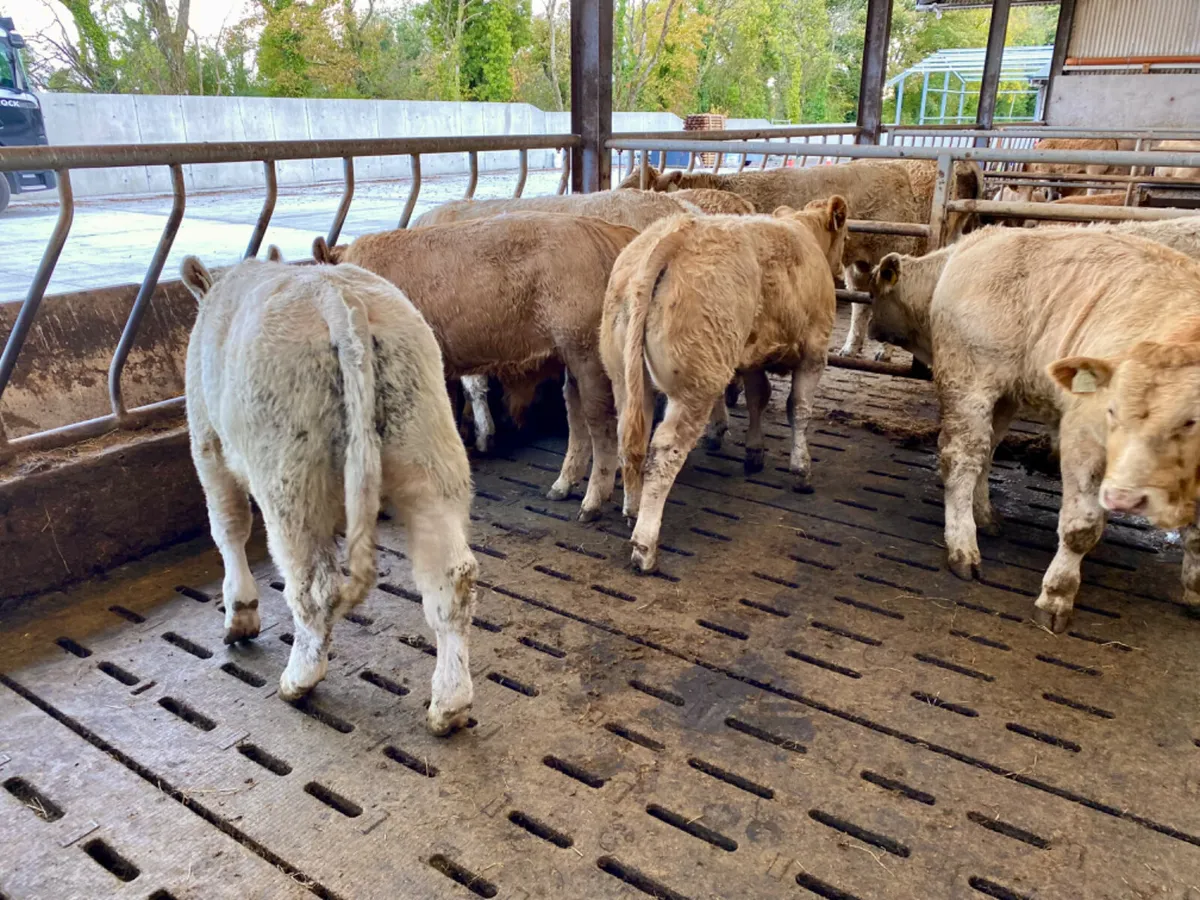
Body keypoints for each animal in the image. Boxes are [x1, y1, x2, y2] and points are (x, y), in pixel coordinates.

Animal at [316, 213, 638, 520]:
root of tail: (610, 233)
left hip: (587, 350)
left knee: (601, 421)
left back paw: (590, 508)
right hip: (571, 354)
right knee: (576, 412)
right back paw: (558, 490)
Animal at [604, 200, 849, 573]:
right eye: (847, 236)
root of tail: (679, 231)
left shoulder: (753, 355)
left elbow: (758, 397)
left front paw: (754, 452)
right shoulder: (815, 350)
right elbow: (798, 408)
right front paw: (801, 469)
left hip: (626, 378)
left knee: (630, 439)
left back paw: (632, 509)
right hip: (694, 386)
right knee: (664, 451)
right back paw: (645, 546)